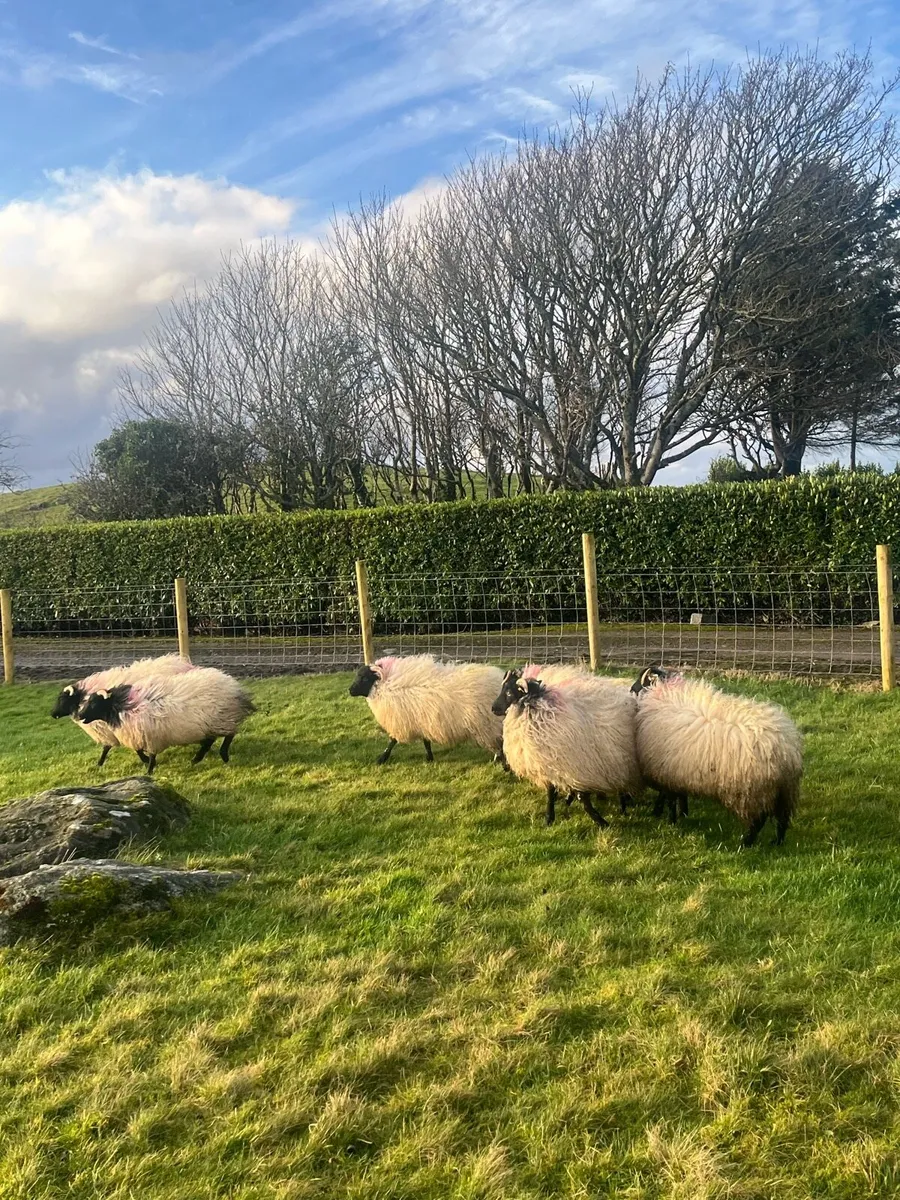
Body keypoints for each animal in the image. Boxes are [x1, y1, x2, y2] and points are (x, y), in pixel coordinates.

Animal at [77, 666, 255, 774]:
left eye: (94, 703)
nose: (79, 715)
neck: (122, 706)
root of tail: (234, 686)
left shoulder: (150, 735)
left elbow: (149, 754)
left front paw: (149, 771)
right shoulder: (140, 733)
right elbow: (139, 750)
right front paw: (146, 763)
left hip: (222, 718)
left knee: (229, 735)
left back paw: (223, 755)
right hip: (210, 723)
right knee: (210, 740)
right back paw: (197, 759)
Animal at [348, 654, 506, 765]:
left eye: (364, 678)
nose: (350, 690)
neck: (385, 687)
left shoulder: (400, 721)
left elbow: (392, 741)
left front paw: (382, 758)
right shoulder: (422, 721)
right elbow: (426, 742)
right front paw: (429, 758)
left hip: (488, 725)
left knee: (500, 744)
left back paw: (499, 761)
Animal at [491, 667, 642, 828]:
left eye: (509, 692)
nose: (493, 708)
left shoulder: (576, 768)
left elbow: (581, 798)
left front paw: (601, 822)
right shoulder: (554, 766)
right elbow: (552, 793)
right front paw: (551, 817)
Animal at [631, 664, 802, 847]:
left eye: (641, 682)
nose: (631, 689)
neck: (663, 695)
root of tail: (787, 750)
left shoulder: (665, 770)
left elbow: (668, 799)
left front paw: (669, 820)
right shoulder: (677, 771)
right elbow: (680, 796)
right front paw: (683, 814)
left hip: (753, 792)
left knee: (758, 821)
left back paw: (746, 843)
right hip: (784, 792)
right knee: (782, 819)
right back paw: (777, 842)